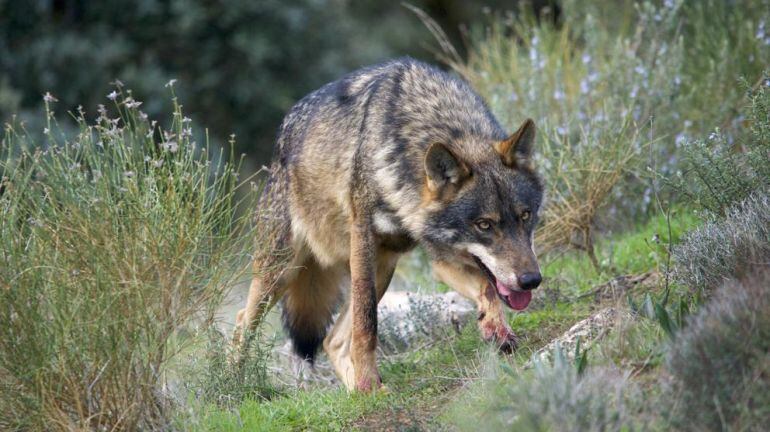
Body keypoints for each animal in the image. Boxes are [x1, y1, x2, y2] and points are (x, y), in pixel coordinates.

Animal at [231, 57, 544, 392]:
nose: (531, 280)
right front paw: (368, 379)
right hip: (283, 271)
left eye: (525, 216)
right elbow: (367, 324)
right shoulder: (364, 239)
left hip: (383, 266)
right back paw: (234, 385)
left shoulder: (441, 257)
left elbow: (487, 288)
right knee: (241, 323)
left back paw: (360, 393)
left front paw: (496, 328)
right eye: (484, 225)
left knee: (332, 341)